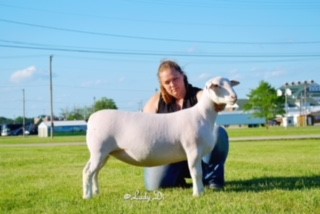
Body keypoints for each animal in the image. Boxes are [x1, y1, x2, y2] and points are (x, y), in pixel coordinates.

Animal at [84, 75, 239, 199]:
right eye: (217, 86)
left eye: (230, 84)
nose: (234, 97)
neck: (202, 115)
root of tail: (92, 118)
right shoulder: (193, 150)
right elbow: (196, 173)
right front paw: (197, 194)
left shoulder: (197, 152)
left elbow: (198, 173)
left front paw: (201, 192)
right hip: (99, 150)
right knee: (88, 172)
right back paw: (87, 196)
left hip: (104, 153)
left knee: (95, 173)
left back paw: (96, 193)